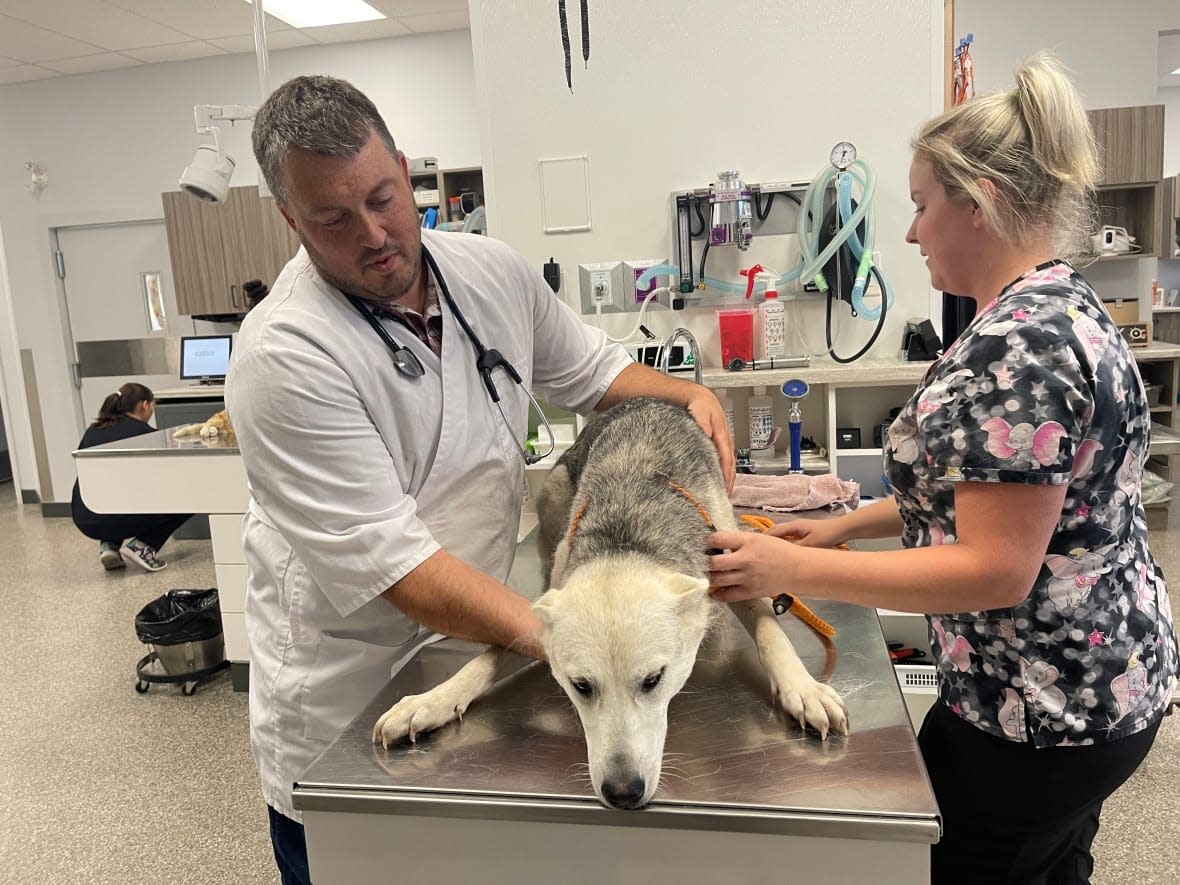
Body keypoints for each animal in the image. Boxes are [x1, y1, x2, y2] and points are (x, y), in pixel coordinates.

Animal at [372, 398, 844, 807]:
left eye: (653, 680)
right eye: (580, 686)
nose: (622, 793)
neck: (627, 534)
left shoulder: (734, 565)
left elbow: (770, 632)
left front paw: (803, 689)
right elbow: (488, 658)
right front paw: (432, 701)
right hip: (553, 492)